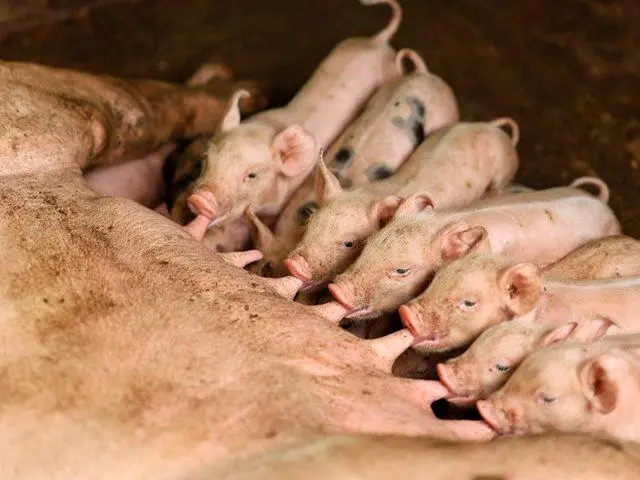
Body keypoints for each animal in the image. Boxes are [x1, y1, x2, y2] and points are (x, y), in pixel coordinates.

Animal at [285, 118, 520, 290]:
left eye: (349, 243)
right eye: (310, 223)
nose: (293, 264)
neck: (369, 193)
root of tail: (490, 126)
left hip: (503, 174)